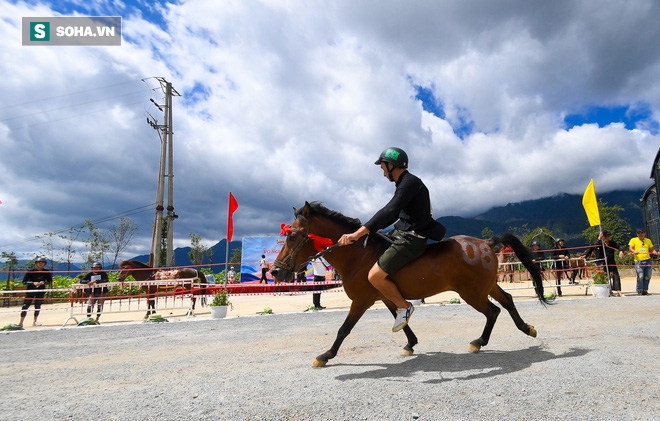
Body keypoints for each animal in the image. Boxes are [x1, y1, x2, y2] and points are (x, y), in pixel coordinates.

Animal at [270, 202, 548, 366]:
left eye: (292, 237)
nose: (275, 271)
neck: (358, 256)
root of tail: (487, 243)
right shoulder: (384, 295)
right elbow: (402, 318)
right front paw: (410, 344)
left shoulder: (361, 300)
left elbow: (344, 329)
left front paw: (325, 356)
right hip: (486, 287)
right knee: (507, 302)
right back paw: (527, 328)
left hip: (472, 293)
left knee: (493, 311)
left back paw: (478, 342)